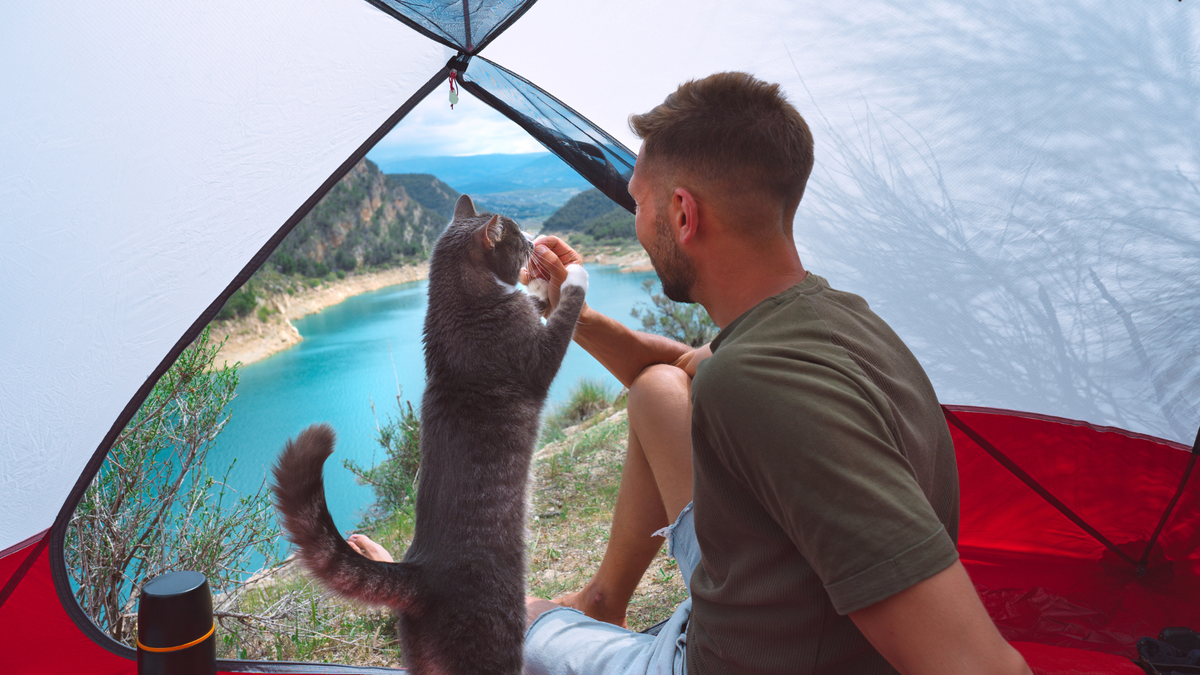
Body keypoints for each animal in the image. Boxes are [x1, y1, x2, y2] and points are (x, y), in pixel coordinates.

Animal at [273, 192, 590, 667]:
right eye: (517, 238)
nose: (535, 240)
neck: (459, 305)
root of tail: (419, 574)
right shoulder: (536, 358)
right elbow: (564, 312)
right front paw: (573, 274)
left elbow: (536, 303)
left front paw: (538, 286)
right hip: (494, 636)